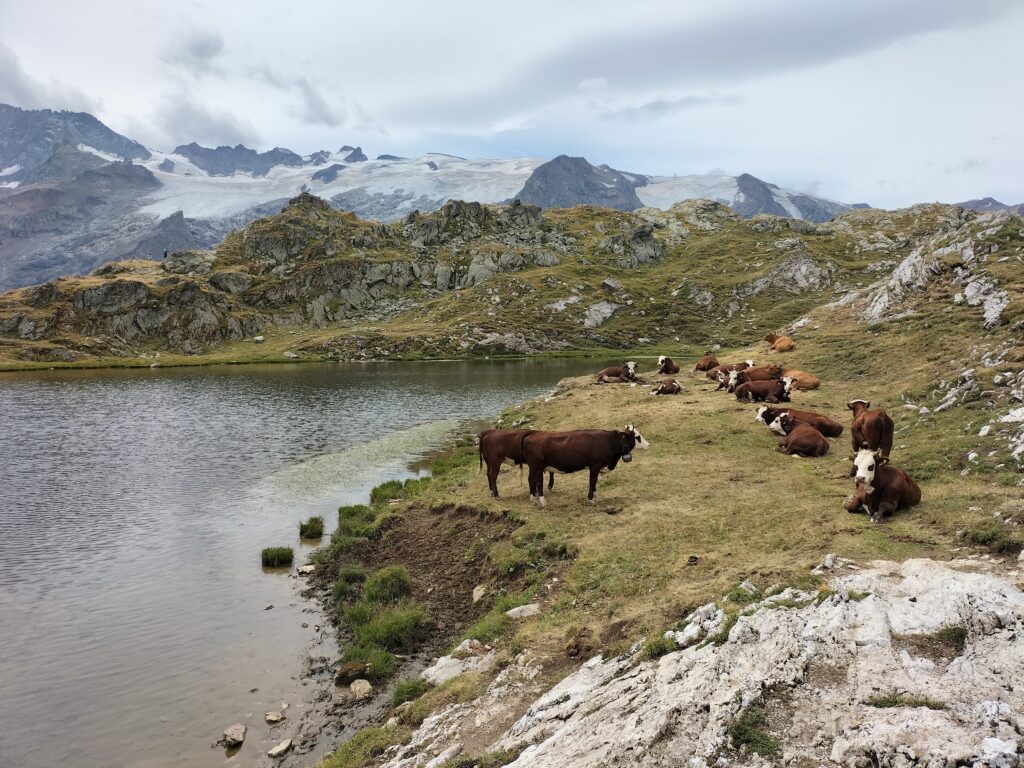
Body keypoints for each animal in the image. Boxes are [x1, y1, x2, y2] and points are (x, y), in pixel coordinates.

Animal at [521, 425, 650, 505]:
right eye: (637, 436)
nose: (648, 444)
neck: (608, 441)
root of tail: (531, 435)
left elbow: (595, 482)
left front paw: (595, 496)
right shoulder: (595, 465)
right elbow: (592, 481)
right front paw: (591, 499)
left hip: (533, 467)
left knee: (531, 480)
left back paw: (533, 499)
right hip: (537, 466)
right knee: (538, 482)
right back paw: (543, 502)